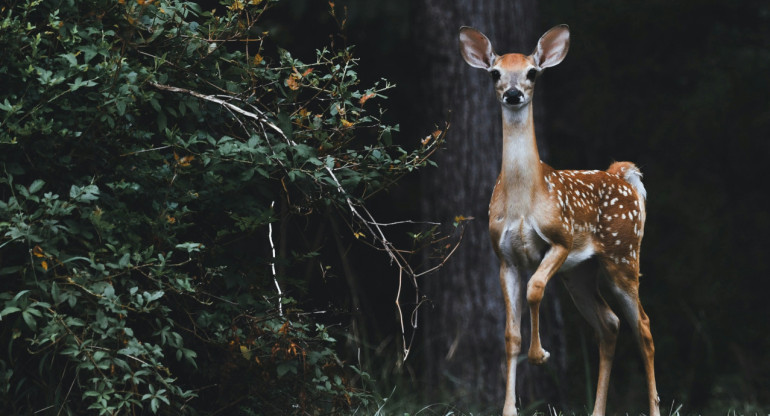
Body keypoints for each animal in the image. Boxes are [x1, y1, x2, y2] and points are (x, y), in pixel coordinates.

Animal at [456, 25, 660, 416]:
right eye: (495, 74)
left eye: (533, 72)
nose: (514, 94)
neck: (524, 200)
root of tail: (623, 175)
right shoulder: (504, 257)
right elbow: (511, 333)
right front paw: (509, 408)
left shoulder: (561, 240)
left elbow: (535, 289)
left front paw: (540, 355)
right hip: (580, 273)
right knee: (609, 324)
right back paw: (596, 411)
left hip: (623, 255)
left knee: (642, 325)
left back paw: (654, 408)